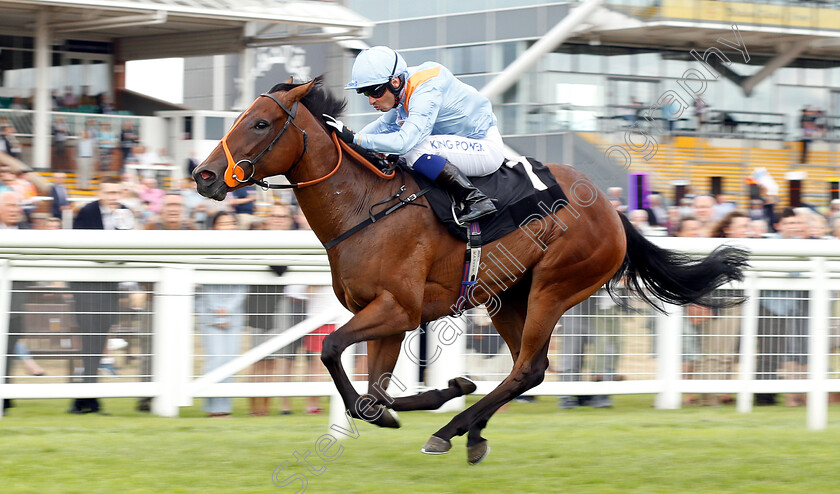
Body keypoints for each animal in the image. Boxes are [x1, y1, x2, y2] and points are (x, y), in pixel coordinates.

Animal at [192, 77, 748, 464]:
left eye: (260, 123)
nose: (203, 175)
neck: (364, 207)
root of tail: (613, 211)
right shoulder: (388, 317)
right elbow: (371, 395)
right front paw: (432, 395)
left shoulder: (398, 309)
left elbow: (331, 351)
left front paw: (446, 393)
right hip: (506, 296)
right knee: (529, 369)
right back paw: (471, 431)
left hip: (553, 286)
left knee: (528, 368)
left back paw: (450, 430)